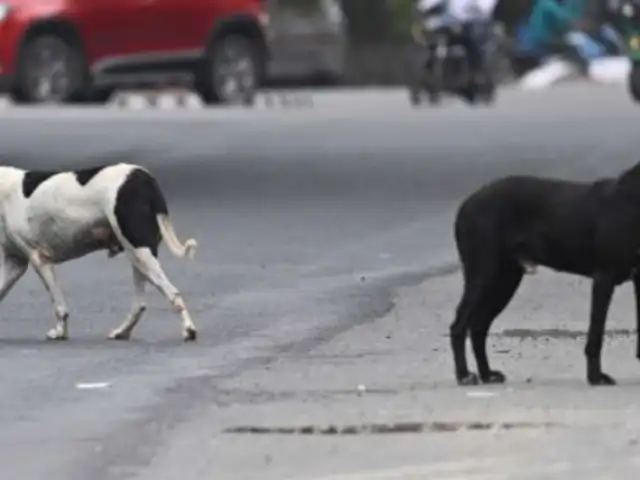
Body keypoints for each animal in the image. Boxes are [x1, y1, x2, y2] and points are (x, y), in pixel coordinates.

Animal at [0, 164, 198, 342]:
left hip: (140, 253)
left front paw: (60, 332)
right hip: (139, 257)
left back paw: (188, 330)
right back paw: (122, 332)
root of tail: (144, 178)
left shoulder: (39, 260)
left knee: (173, 294)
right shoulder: (14, 264)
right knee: (141, 304)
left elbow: (60, 307)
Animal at [450, 163, 640, 388]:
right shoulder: (604, 278)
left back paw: (487, 374)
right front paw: (595, 377)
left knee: (479, 326)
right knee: (459, 325)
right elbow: (596, 334)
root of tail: (467, 203)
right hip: (483, 275)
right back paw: (463, 375)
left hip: (505, 280)